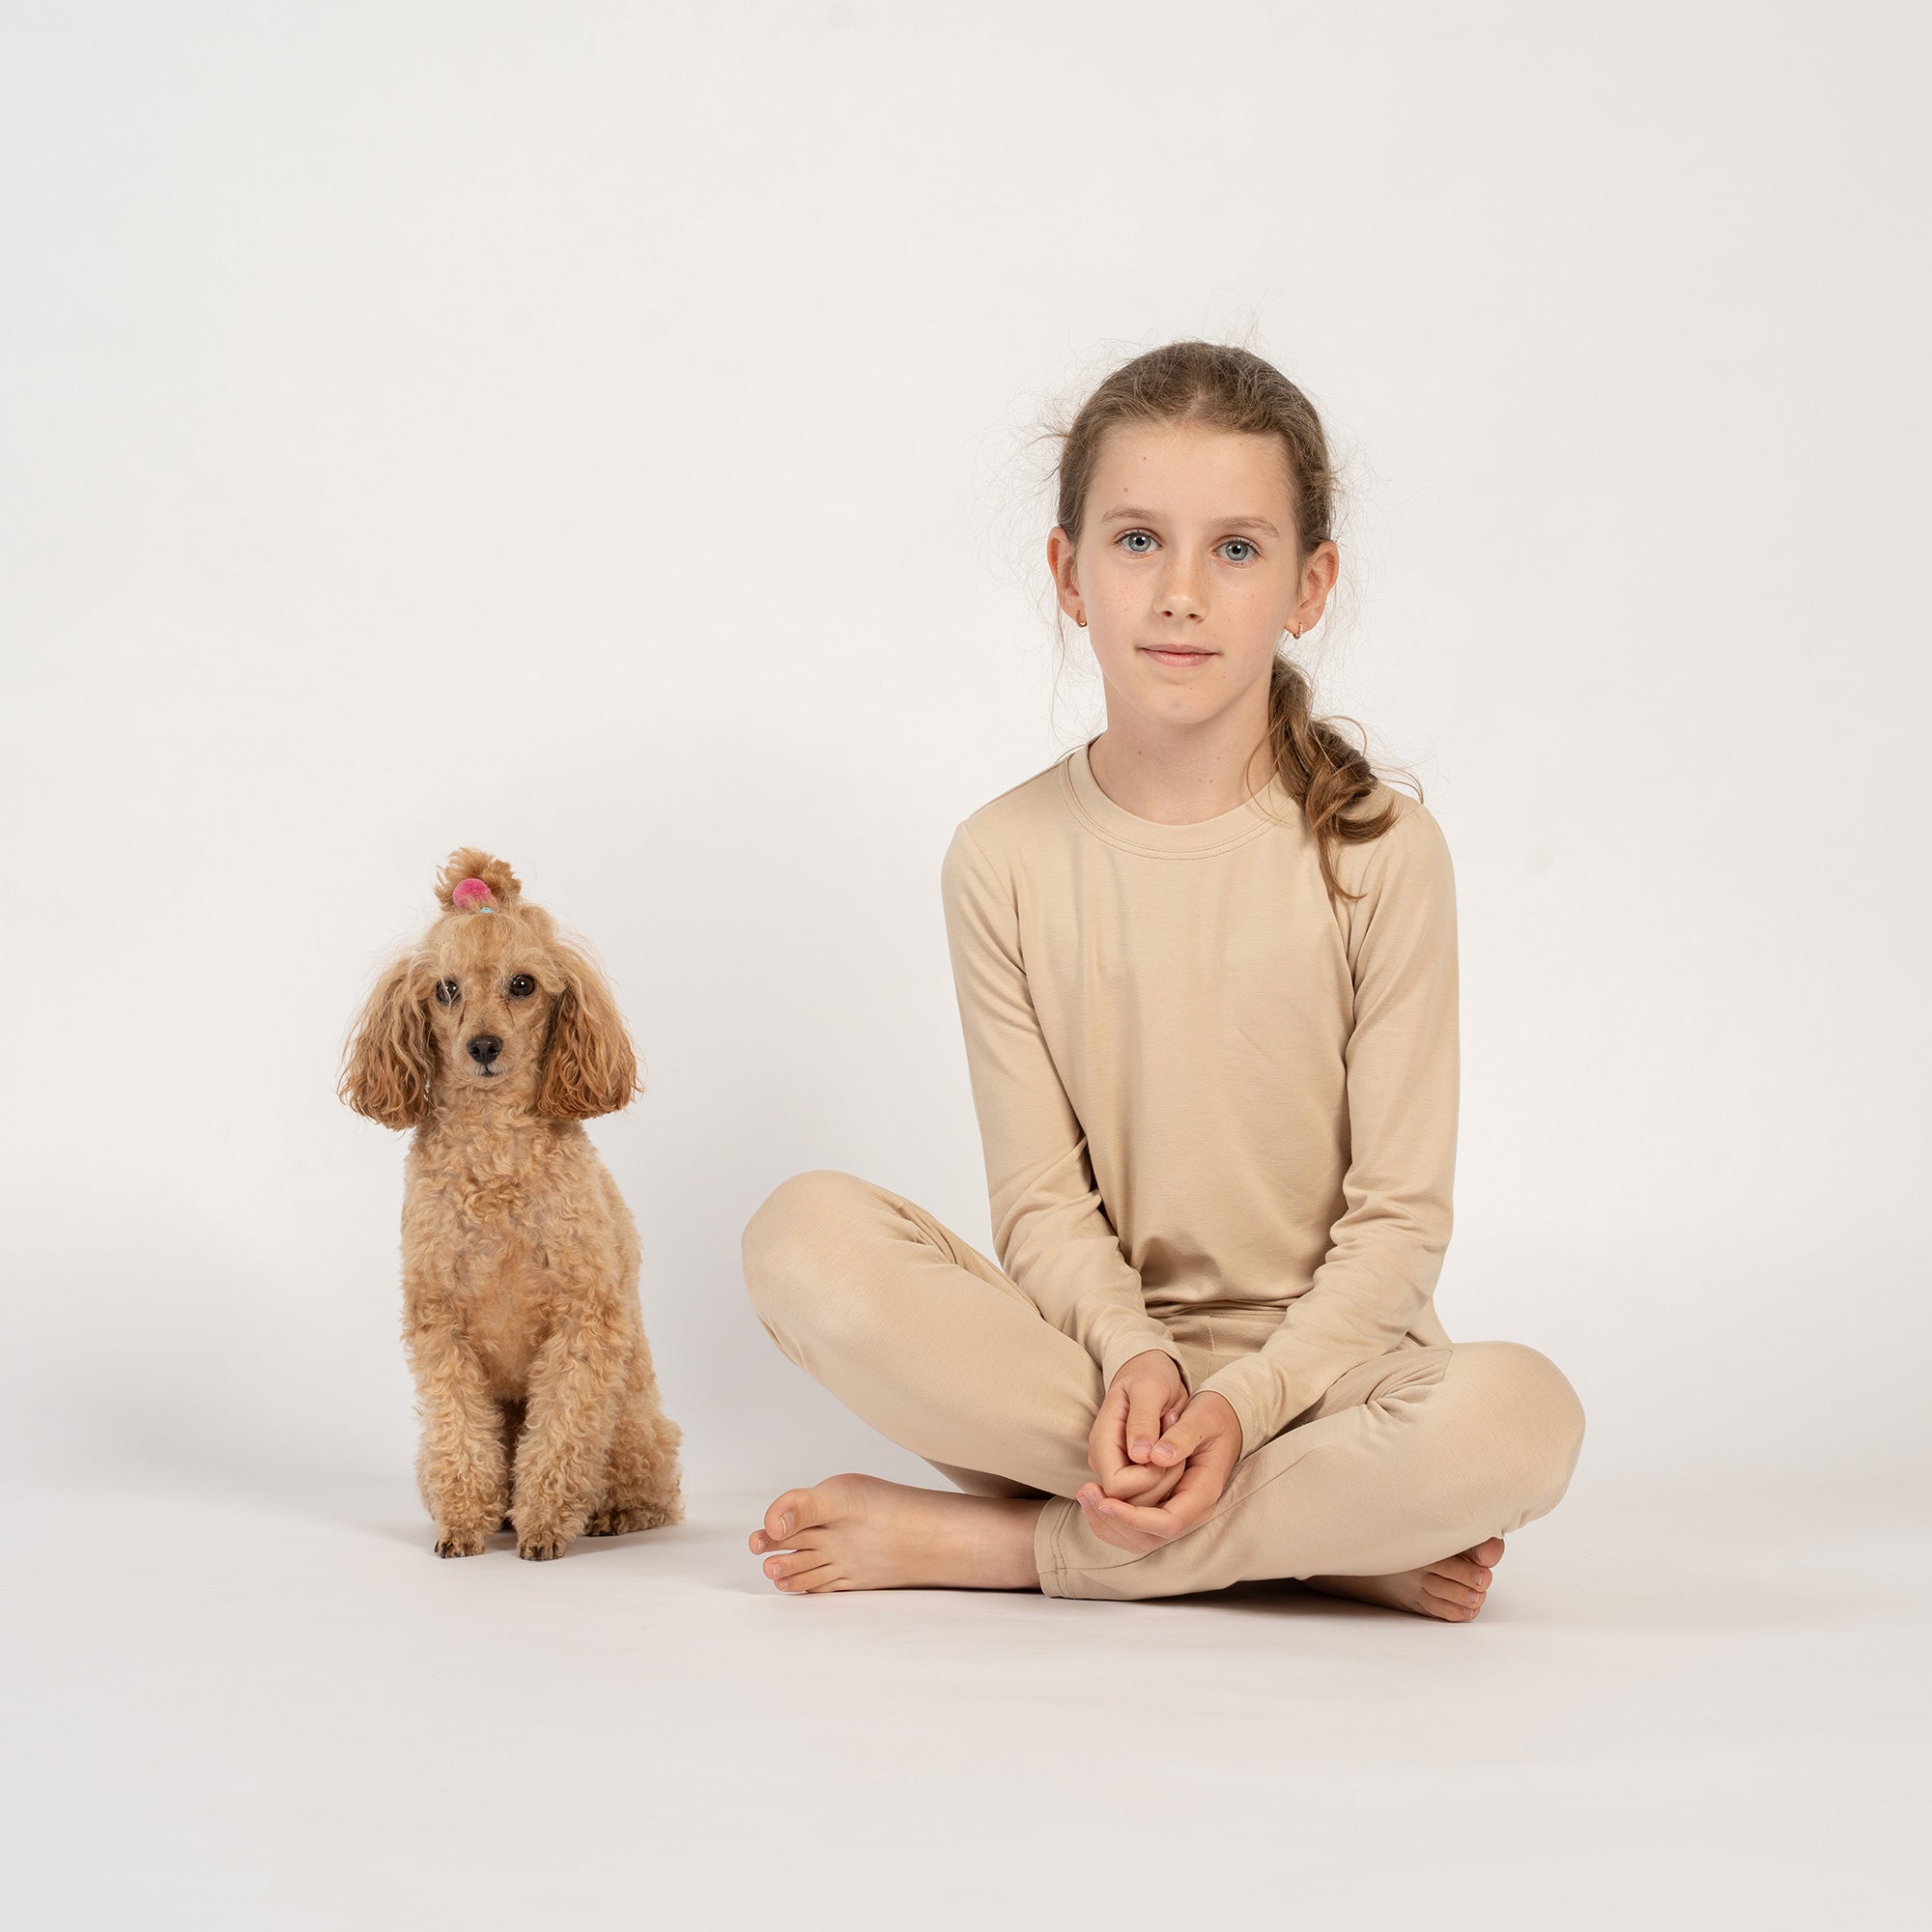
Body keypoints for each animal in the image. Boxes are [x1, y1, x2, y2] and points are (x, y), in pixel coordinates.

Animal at [338, 848, 683, 1559]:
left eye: (522, 985)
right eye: (445, 990)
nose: (484, 1047)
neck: (494, 1152)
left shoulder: (584, 1320)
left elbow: (561, 1432)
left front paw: (545, 1525)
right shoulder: (440, 1323)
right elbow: (460, 1432)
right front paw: (464, 1524)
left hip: (632, 1421)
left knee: (651, 1486)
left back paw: (608, 1515)